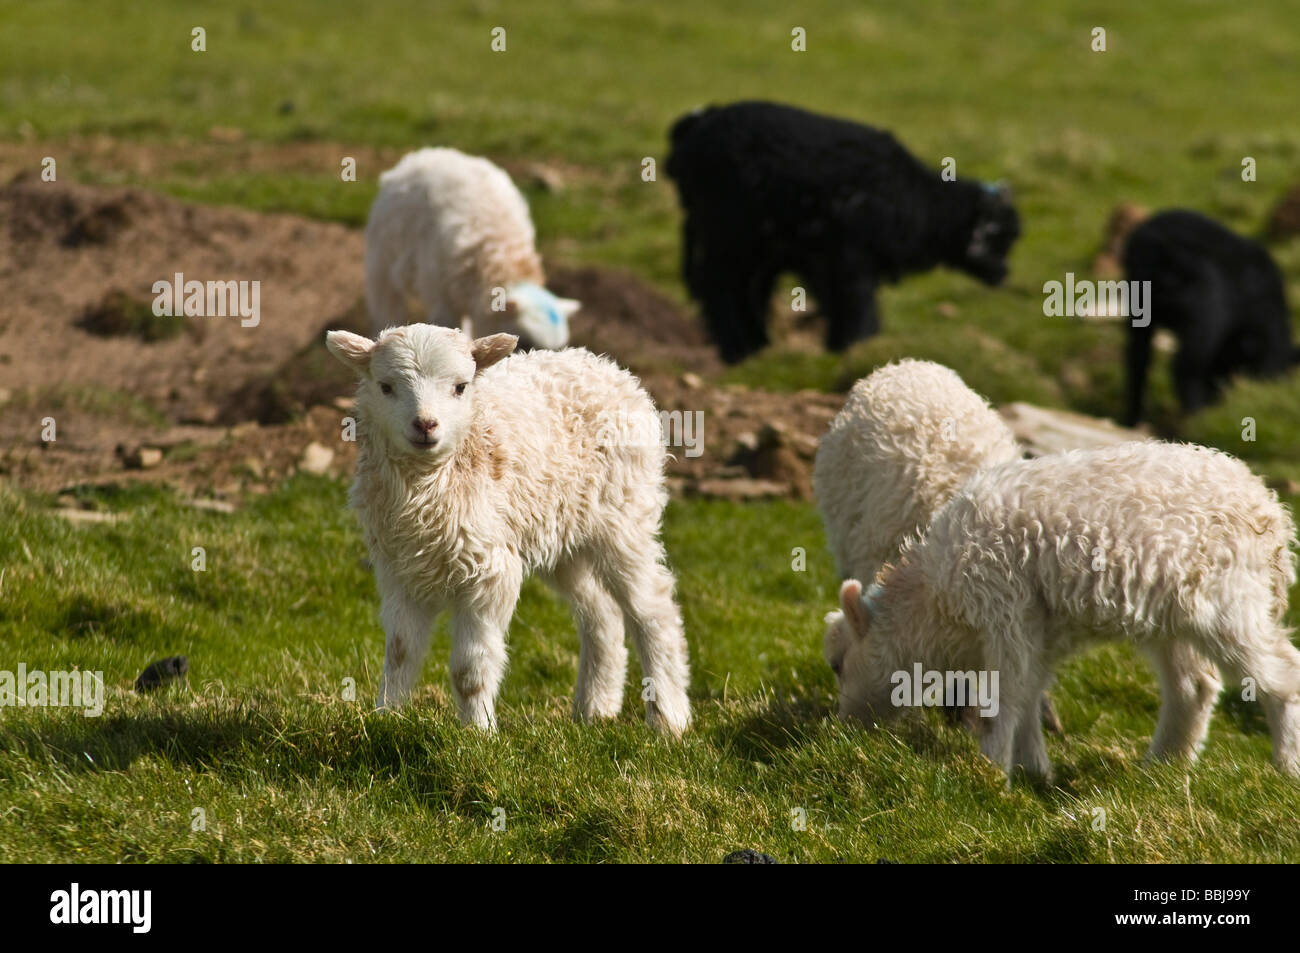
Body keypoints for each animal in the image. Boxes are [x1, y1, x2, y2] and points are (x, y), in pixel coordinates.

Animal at [325, 323, 691, 733]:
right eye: (386, 387)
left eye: (461, 387)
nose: (425, 425)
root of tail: (608, 367)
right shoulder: (401, 571)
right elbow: (400, 654)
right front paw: (387, 720)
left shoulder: (489, 570)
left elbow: (469, 669)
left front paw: (478, 733)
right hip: (562, 534)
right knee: (602, 614)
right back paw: (595, 709)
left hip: (624, 518)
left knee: (654, 607)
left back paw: (668, 718)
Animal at [665, 99, 1019, 361]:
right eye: (998, 235)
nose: (1003, 274)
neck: (921, 203)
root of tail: (694, 127)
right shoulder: (851, 257)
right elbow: (856, 304)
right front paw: (854, 346)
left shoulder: (816, 259)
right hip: (729, 232)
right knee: (719, 287)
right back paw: (743, 347)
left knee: (743, 289)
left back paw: (756, 345)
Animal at [821, 442, 1300, 774]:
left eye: (837, 665)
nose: (842, 729)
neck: (936, 598)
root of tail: (1269, 509)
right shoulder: (1039, 627)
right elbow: (1029, 693)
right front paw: (1033, 770)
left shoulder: (1004, 606)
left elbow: (1007, 696)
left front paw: (989, 772)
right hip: (1172, 615)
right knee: (1193, 688)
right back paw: (1163, 768)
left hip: (1231, 601)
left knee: (1281, 673)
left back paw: (1285, 765)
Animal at [1123, 215, 1294, 426]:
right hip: (1203, 309)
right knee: (1185, 366)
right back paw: (1196, 417)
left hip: (1140, 305)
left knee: (1138, 359)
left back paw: (1134, 418)